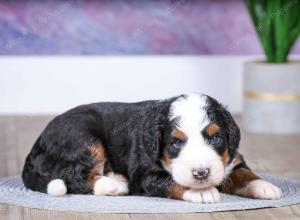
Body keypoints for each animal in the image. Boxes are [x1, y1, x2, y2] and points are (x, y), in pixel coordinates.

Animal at [22, 93, 282, 203]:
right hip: (84, 134)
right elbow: (170, 181)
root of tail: (36, 145)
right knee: (73, 174)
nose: (201, 173)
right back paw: (114, 185)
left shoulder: (231, 159)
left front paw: (265, 186)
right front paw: (201, 191)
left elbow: (244, 172)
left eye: (216, 138)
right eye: (176, 142)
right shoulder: (145, 175)